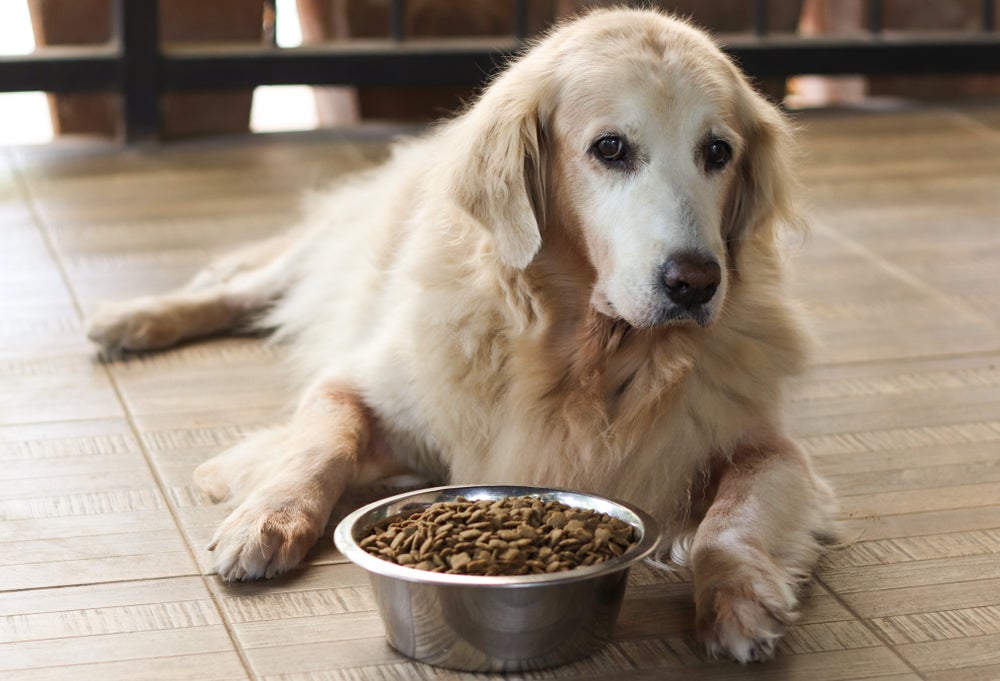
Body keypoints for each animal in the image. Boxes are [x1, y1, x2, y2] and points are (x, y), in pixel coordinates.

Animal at [84, 7, 836, 660]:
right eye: (610, 148)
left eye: (718, 151)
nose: (696, 282)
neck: (585, 355)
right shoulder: (358, 385)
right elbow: (320, 445)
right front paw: (266, 520)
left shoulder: (771, 447)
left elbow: (730, 521)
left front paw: (739, 599)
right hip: (328, 255)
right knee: (243, 286)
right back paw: (130, 319)